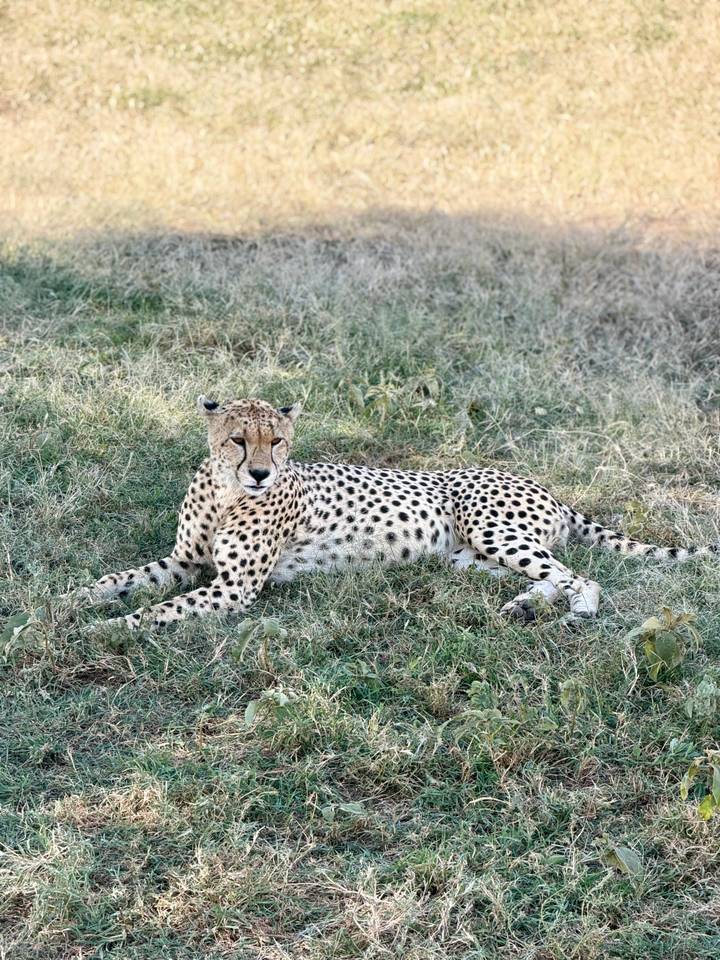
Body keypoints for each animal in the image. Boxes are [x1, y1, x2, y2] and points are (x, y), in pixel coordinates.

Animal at [71, 396, 716, 630]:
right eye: (237, 439)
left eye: (275, 442)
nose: (259, 472)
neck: (229, 493)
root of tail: (548, 488)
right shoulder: (185, 562)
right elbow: (122, 579)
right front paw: (70, 602)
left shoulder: (232, 587)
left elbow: (161, 610)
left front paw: (109, 629)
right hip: (467, 557)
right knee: (551, 573)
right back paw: (524, 604)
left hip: (491, 526)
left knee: (581, 576)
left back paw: (576, 611)